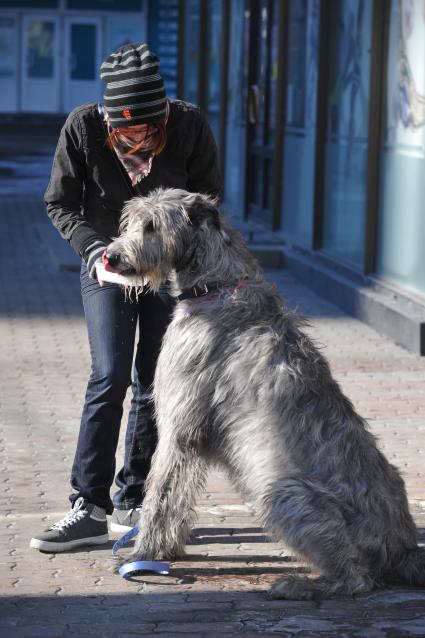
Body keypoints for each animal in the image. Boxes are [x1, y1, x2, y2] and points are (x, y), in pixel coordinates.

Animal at [105, 186, 424, 600]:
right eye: (130, 221)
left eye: (152, 225)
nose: (110, 256)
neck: (217, 285)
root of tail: (405, 548)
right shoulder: (193, 436)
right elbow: (180, 493)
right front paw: (167, 549)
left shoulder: (180, 426)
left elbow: (161, 492)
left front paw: (142, 553)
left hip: (283, 494)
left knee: (357, 580)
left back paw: (298, 585)